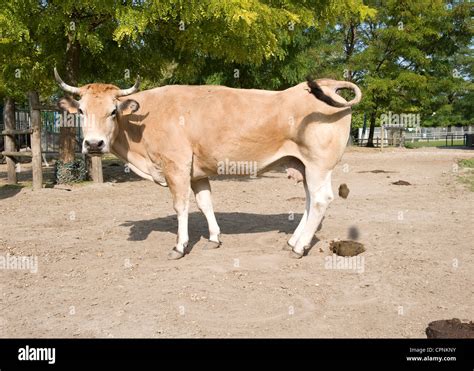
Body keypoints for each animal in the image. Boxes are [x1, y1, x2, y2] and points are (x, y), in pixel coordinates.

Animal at [53, 69, 362, 262]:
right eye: (81, 111)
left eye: (113, 111)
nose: (94, 144)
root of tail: (328, 84)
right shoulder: (196, 172)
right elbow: (205, 203)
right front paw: (214, 237)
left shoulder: (176, 165)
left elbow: (181, 206)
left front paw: (179, 246)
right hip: (304, 164)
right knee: (310, 200)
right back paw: (296, 240)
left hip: (319, 164)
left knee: (320, 199)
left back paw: (299, 248)